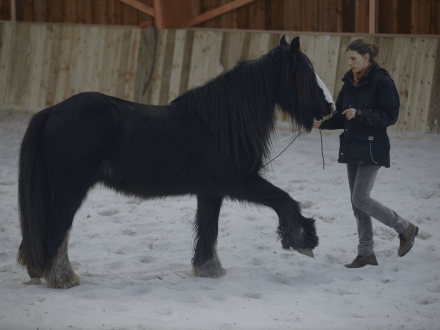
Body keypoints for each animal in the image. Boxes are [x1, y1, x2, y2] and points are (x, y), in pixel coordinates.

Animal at [16, 36, 334, 288]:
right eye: (307, 74)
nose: (330, 107)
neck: (220, 125)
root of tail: (52, 111)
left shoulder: (211, 190)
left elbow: (208, 229)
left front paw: (208, 269)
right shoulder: (239, 181)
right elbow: (283, 199)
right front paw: (304, 239)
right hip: (70, 189)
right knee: (56, 229)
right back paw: (63, 278)